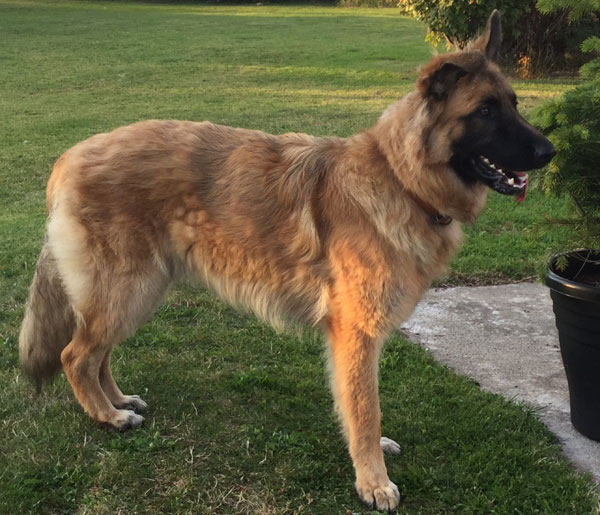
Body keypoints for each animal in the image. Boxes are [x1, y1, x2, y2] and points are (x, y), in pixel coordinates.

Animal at [19, 10, 552, 512]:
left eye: (514, 104)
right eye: (485, 111)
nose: (549, 151)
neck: (402, 180)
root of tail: (69, 158)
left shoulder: (352, 340)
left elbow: (356, 406)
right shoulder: (357, 334)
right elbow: (365, 408)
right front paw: (373, 482)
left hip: (134, 292)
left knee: (98, 351)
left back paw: (117, 400)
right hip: (128, 289)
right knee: (75, 354)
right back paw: (108, 416)